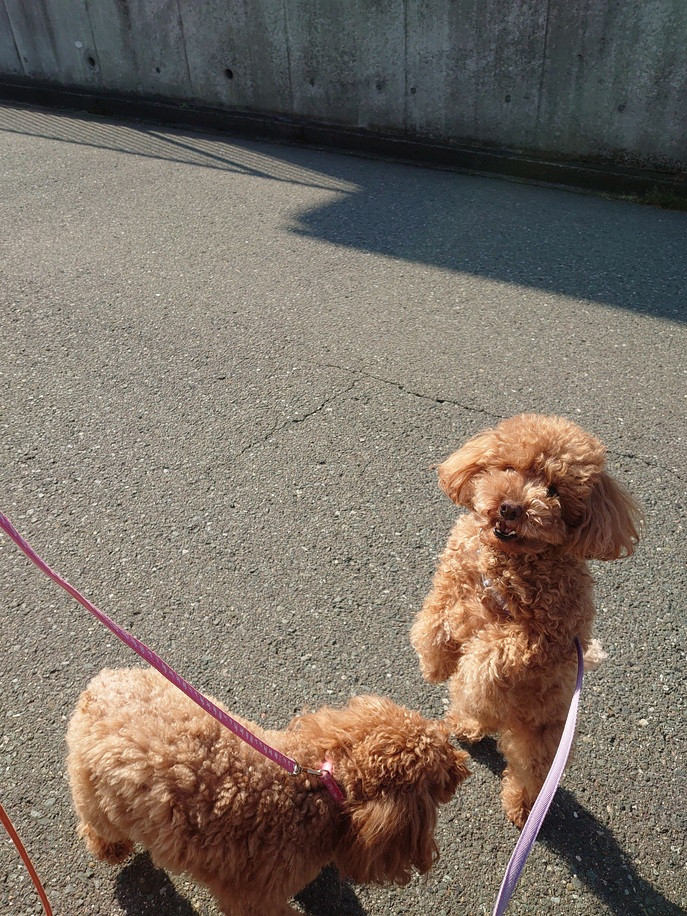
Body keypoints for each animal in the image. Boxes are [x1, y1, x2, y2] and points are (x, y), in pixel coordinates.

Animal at [67, 667, 470, 915]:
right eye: (439, 772)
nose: (463, 762)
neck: (321, 787)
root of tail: (98, 688)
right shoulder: (254, 899)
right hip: (95, 794)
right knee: (95, 824)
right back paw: (110, 848)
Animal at [410, 413, 640, 828]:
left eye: (553, 490)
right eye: (508, 468)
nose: (510, 508)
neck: (506, 561)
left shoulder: (544, 639)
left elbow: (488, 656)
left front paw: (466, 671)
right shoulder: (453, 581)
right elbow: (434, 623)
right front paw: (435, 666)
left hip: (541, 735)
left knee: (527, 773)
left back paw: (521, 807)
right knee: (483, 715)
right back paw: (468, 724)